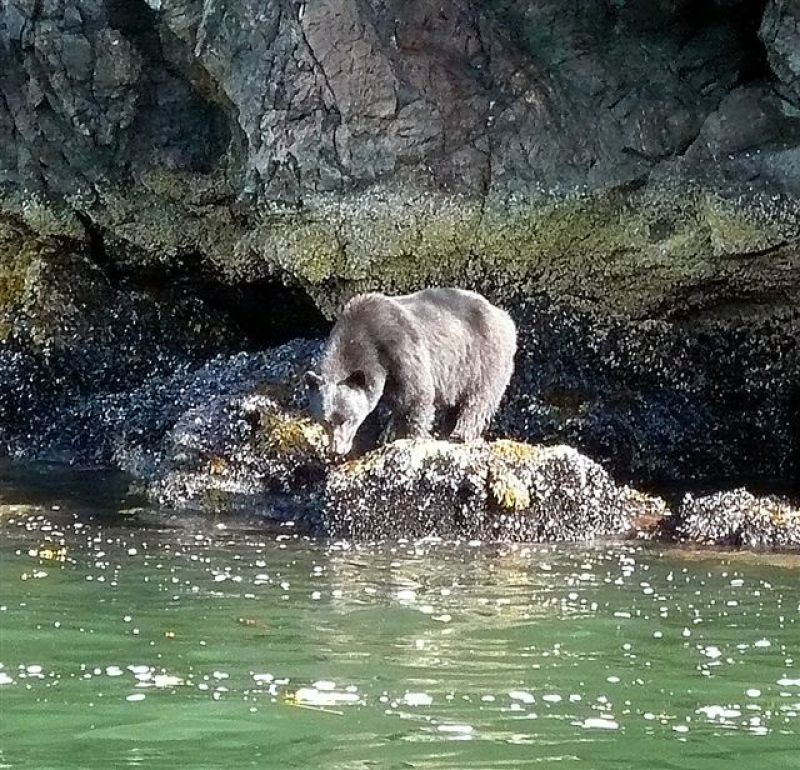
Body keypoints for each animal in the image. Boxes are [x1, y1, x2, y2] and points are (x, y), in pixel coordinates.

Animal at [306, 288, 520, 456]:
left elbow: (416, 395)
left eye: (348, 419)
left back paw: (460, 434)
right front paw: (388, 435)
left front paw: (411, 437)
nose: (337, 450)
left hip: (484, 359)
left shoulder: (401, 346)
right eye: (325, 421)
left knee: (478, 399)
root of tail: (505, 317)